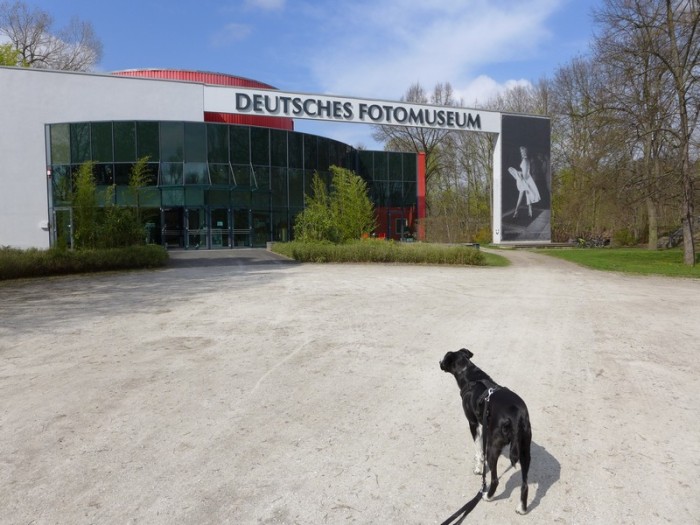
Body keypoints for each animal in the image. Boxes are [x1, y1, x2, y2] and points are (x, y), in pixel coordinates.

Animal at [440, 346, 532, 512]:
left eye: (444, 358)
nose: (439, 363)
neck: (469, 373)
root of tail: (516, 417)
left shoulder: (473, 423)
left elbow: (478, 450)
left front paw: (478, 468)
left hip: (493, 448)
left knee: (495, 480)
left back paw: (487, 496)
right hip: (525, 450)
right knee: (525, 484)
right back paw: (522, 508)